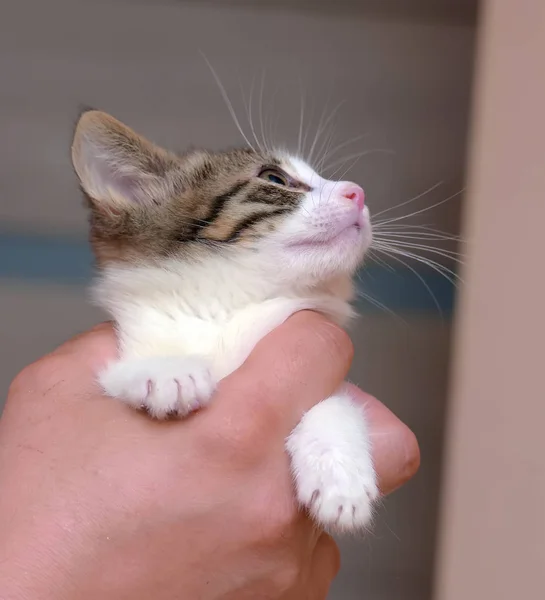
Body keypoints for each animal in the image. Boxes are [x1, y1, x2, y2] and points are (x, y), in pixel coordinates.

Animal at [71, 110, 378, 532]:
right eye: (274, 178)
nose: (357, 193)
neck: (233, 305)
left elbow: (335, 402)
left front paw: (338, 469)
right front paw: (167, 370)